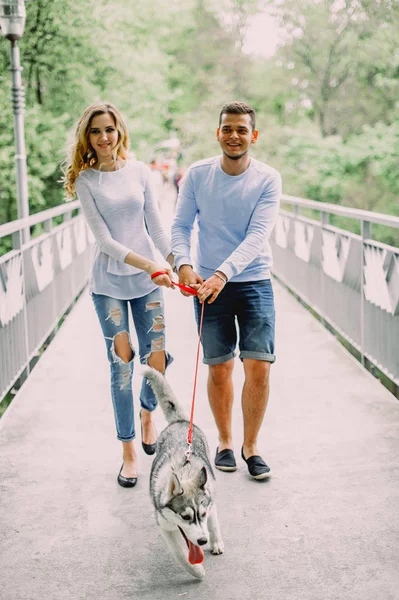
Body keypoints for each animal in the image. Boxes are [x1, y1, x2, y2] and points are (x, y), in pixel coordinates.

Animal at [143, 368, 225, 580]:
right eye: (185, 517)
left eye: (201, 514)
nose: (203, 541)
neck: (184, 472)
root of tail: (180, 421)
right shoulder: (164, 525)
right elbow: (179, 553)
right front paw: (196, 570)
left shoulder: (208, 507)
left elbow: (212, 520)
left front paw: (212, 541)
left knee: (215, 517)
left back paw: (216, 539)